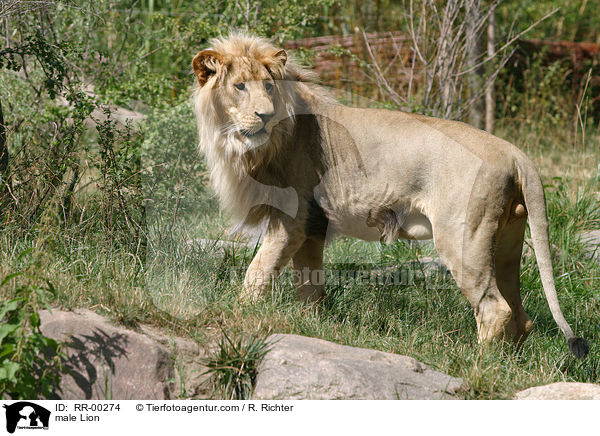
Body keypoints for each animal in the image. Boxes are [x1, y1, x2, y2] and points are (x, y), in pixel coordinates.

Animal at [193, 31, 592, 358]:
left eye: (269, 87)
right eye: (240, 86)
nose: (264, 115)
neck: (245, 146)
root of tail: (515, 152)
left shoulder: (293, 218)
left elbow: (258, 272)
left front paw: (239, 313)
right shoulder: (313, 223)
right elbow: (309, 284)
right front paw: (313, 325)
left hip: (463, 237)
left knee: (496, 309)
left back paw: (477, 363)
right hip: (508, 239)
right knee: (520, 316)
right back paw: (505, 364)